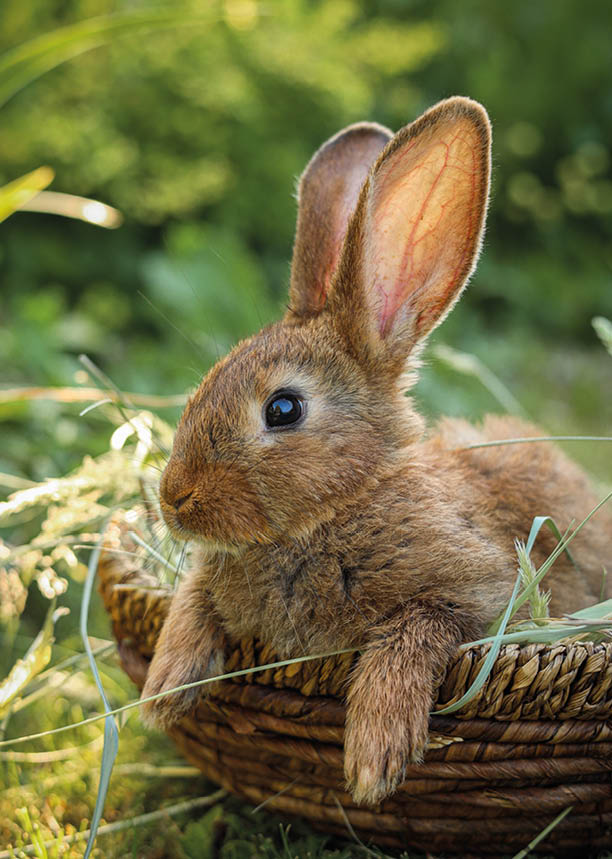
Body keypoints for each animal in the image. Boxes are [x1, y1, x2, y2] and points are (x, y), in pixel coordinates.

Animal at [140, 96, 612, 806]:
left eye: (283, 409)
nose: (174, 502)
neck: (341, 506)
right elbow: (192, 600)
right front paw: (163, 691)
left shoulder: (483, 594)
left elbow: (416, 632)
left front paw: (373, 757)